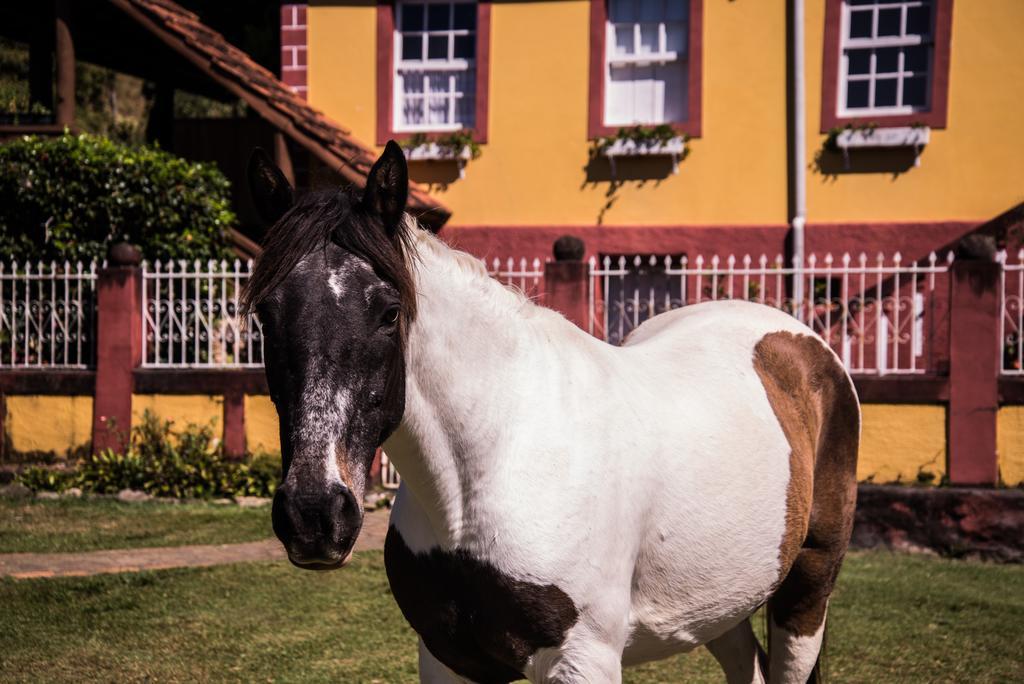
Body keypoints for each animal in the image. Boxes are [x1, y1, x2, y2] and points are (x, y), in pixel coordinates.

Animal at [243, 140, 860, 684]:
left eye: (390, 312)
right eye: (264, 316)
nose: (314, 515)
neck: (495, 462)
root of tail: (801, 341)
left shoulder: (581, 659)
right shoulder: (447, 658)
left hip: (807, 589)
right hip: (717, 601)